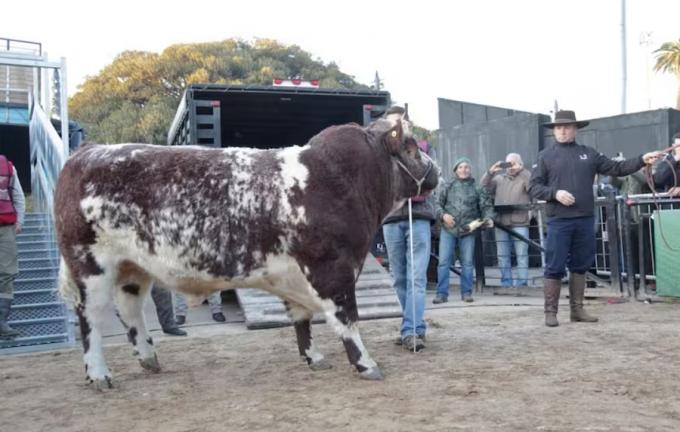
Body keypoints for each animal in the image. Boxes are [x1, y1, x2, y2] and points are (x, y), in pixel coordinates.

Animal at [53, 114, 436, 388]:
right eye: (412, 146)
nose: (438, 171)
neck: (342, 179)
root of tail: (89, 150)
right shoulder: (334, 269)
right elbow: (347, 320)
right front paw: (365, 363)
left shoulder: (294, 275)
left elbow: (301, 319)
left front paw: (313, 357)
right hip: (91, 266)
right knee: (91, 318)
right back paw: (99, 374)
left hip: (133, 267)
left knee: (130, 310)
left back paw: (149, 359)